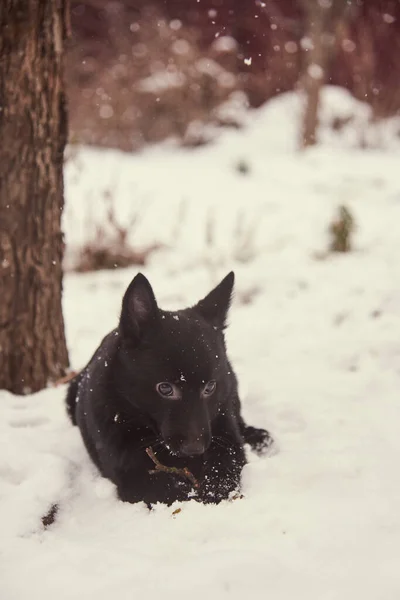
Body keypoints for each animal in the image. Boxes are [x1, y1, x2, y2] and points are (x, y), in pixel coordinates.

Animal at [66, 274, 272, 506]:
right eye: (165, 388)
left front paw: (213, 492)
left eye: (209, 387)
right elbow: (169, 491)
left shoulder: (224, 431)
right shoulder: (132, 475)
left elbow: (225, 466)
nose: (195, 449)